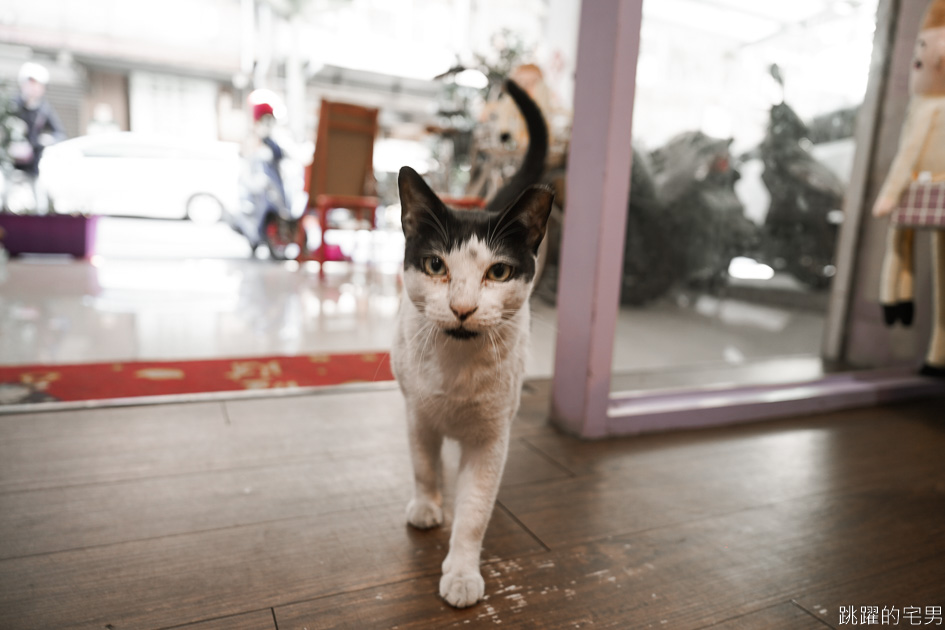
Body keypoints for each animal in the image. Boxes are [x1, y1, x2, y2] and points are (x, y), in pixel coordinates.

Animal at [390, 78, 552, 608]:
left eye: (498, 272)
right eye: (436, 265)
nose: (462, 308)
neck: (457, 368)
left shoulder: (491, 438)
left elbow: (475, 511)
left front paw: (461, 572)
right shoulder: (417, 414)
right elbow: (423, 464)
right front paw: (427, 506)